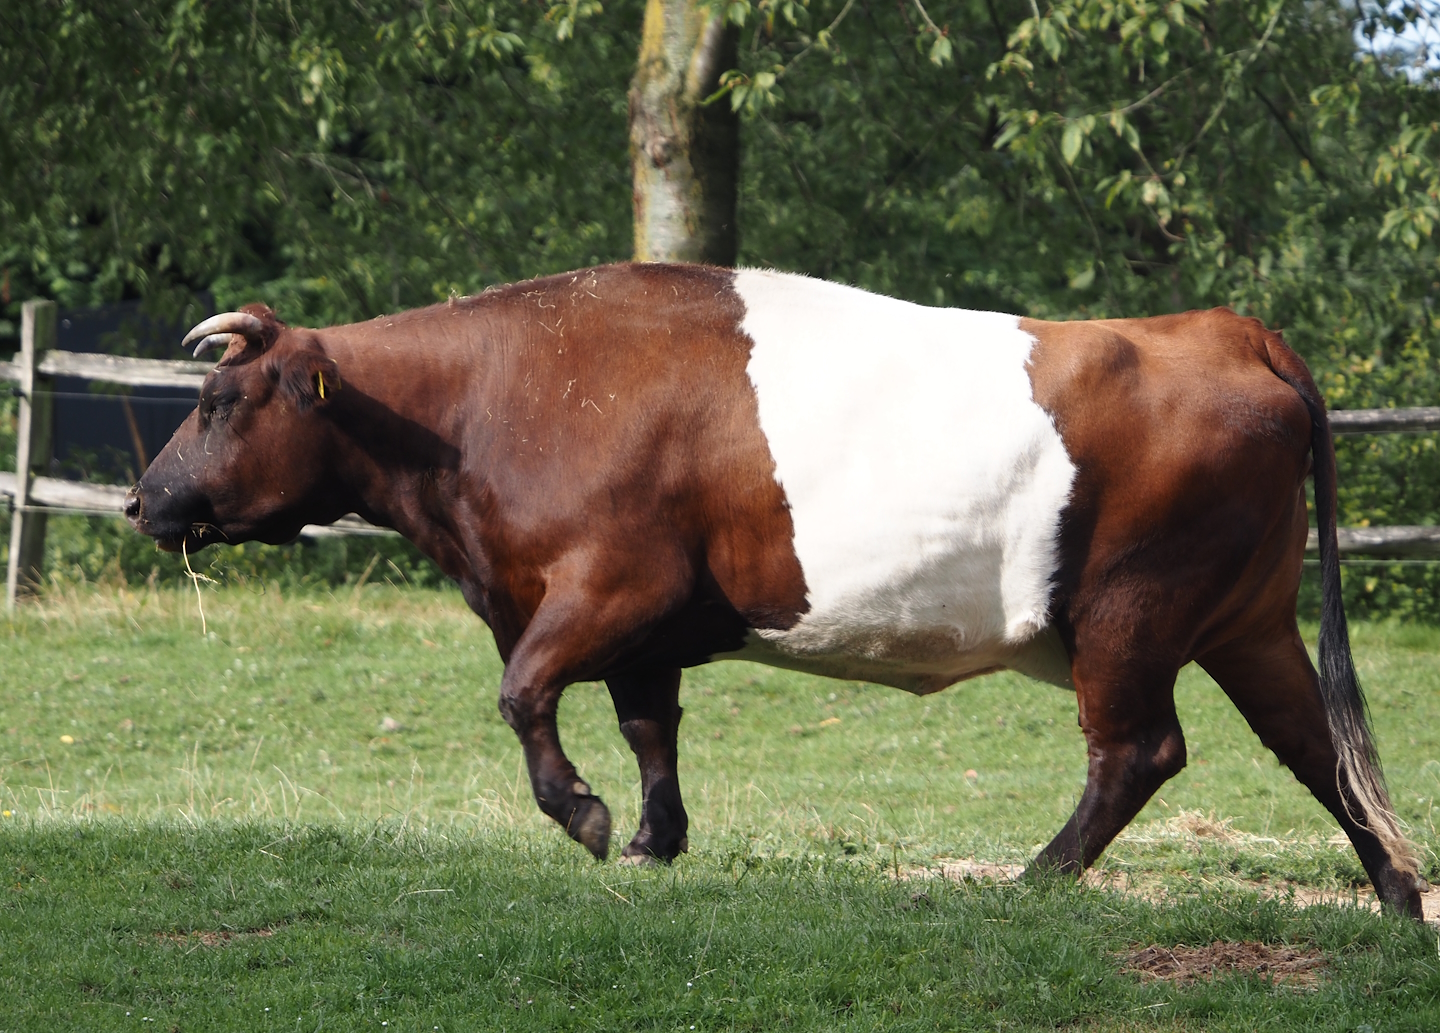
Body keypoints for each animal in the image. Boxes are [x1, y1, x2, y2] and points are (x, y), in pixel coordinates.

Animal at [125, 262, 1425, 918]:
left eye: (221, 403)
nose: (145, 501)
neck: (488, 406)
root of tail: (1220, 327)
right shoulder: (638, 623)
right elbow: (647, 724)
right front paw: (654, 839)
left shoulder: (608, 582)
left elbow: (525, 692)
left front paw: (584, 816)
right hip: (1246, 618)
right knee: (1321, 748)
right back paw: (1401, 902)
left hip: (1131, 610)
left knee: (1140, 751)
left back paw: (1032, 881)